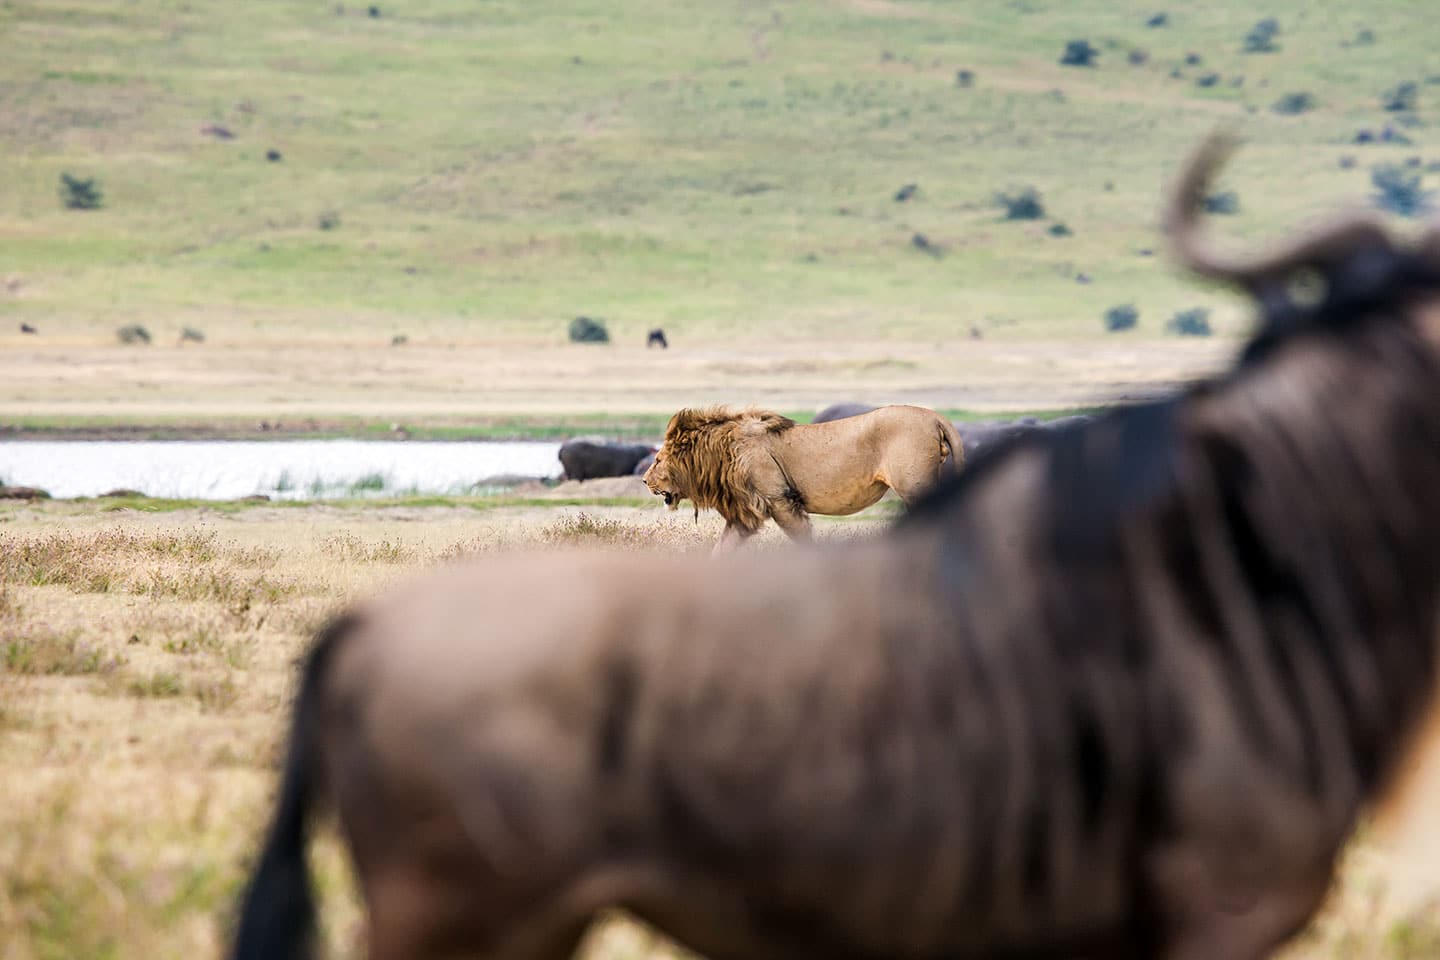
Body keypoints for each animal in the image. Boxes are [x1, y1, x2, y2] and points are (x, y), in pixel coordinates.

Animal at [642, 403, 963, 551]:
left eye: (657, 460)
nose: (644, 480)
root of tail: (935, 416)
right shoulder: (744, 514)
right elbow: (721, 550)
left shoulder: (780, 500)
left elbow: (803, 540)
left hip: (916, 487)